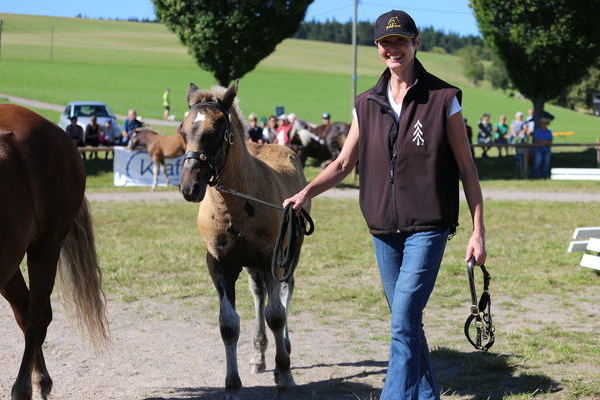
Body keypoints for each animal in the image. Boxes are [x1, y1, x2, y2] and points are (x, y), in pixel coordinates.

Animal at [178, 82, 310, 400]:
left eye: (215, 131)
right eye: (182, 131)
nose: (189, 187)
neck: (236, 206)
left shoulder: (271, 258)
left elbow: (276, 315)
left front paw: (285, 374)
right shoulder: (219, 265)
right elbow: (228, 324)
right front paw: (233, 385)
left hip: (289, 253)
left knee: (285, 292)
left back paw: (284, 349)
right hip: (253, 267)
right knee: (258, 294)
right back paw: (260, 356)